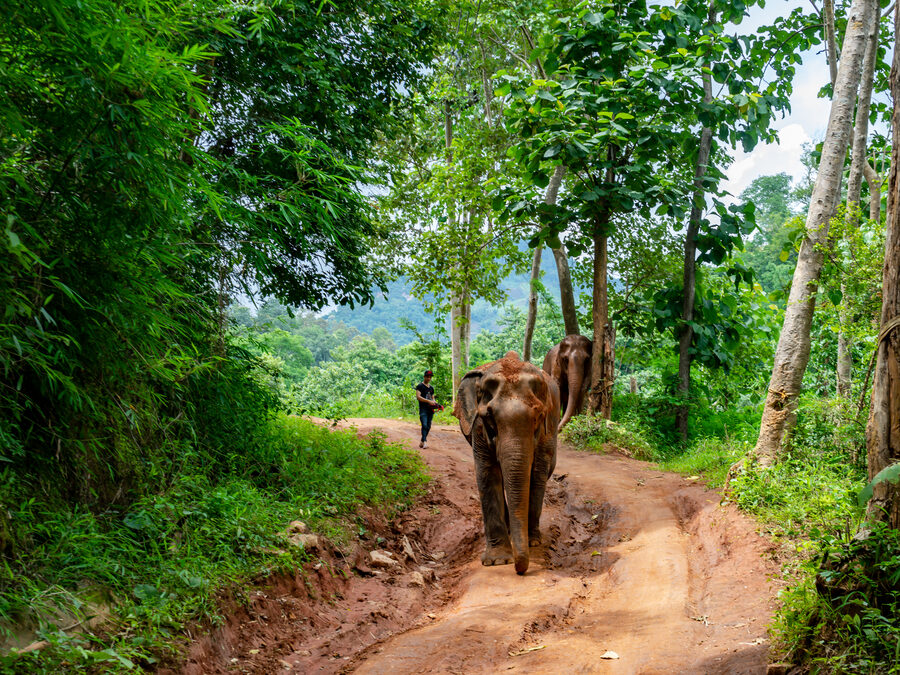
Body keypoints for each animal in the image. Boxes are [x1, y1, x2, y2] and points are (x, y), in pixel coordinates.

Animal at [454, 351, 560, 575]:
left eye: (538, 416)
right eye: (489, 416)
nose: (520, 571)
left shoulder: (548, 426)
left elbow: (537, 473)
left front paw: (532, 543)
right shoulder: (478, 428)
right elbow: (487, 474)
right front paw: (498, 561)